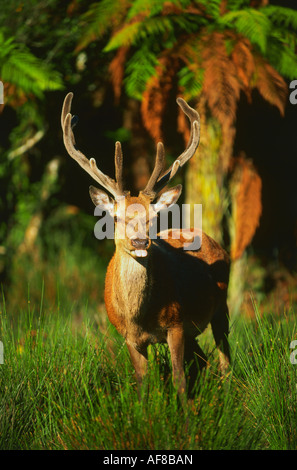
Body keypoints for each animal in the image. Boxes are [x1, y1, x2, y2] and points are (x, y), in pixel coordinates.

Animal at [61, 92, 230, 404]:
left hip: (220, 307)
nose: (140, 242)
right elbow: (143, 384)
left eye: (153, 218)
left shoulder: (176, 324)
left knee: (224, 359)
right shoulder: (128, 336)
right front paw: (147, 411)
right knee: (203, 360)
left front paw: (184, 413)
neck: (140, 317)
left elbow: (179, 380)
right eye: (116, 217)